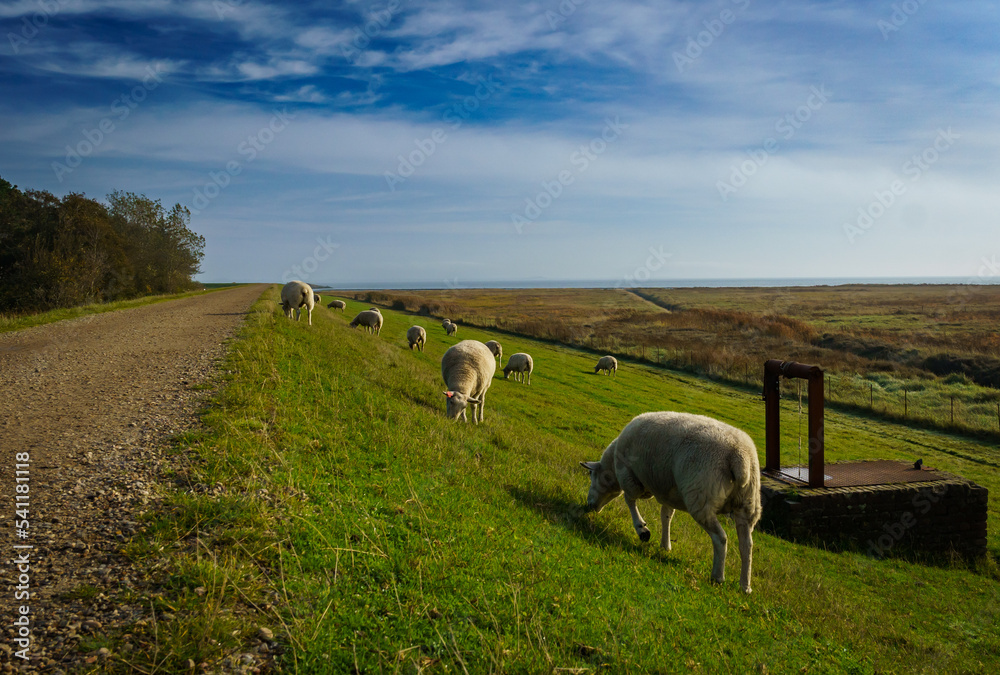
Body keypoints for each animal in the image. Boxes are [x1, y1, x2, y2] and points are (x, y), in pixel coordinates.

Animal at [584, 410, 760, 596]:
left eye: (591, 475)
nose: (589, 505)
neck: (613, 464)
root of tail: (739, 457)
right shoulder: (667, 491)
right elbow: (666, 516)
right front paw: (665, 545)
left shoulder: (629, 476)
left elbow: (629, 501)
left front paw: (642, 530)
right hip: (748, 505)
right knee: (746, 545)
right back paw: (745, 586)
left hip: (701, 498)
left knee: (720, 538)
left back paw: (717, 576)